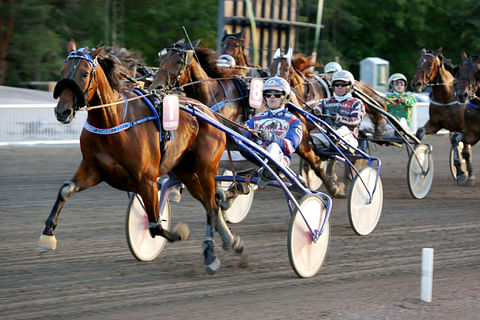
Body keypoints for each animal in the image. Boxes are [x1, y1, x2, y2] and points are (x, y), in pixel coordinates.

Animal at [39, 40, 246, 276]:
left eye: (84, 73)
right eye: (63, 71)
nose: (62, 112)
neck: (114, 120)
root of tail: (207, 111)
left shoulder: (146, 180)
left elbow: (155, 224)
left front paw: (179, 233)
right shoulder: (93, 169)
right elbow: (66, 189)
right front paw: (47, 235)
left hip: (206, 167)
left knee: (211, 206)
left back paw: (210, 254)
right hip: (186, 170)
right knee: (208, 203)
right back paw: (232, 242)